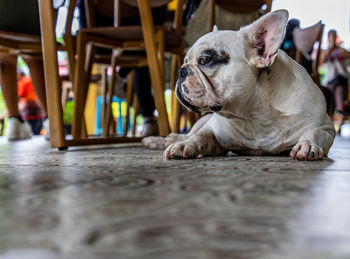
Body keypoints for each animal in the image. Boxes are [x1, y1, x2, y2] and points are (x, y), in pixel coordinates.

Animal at [143, 9, 336, 160]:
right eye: (185, 61)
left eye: (205, 60)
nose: (181, 71)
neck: (255, 114)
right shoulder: (213, 132)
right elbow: (199, 137)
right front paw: (185, 145)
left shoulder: (325, 128)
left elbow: (315, 133)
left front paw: (308, 145)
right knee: (187, 134)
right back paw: (162, 140)